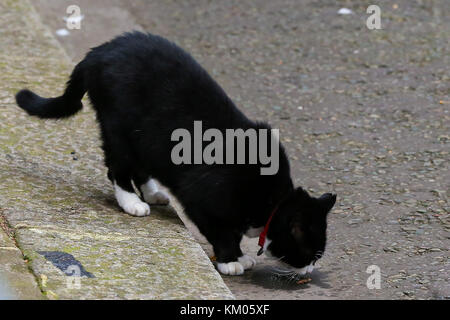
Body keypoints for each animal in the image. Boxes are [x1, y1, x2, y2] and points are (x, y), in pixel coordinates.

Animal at [15, 31, 336, 276]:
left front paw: (239, 255)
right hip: (119, 127)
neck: (270, 199)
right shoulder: (201, 198)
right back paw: (132, 201)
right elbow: (221, 231)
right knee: (117, 167)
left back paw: (152, 193)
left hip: (145, 138)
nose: (310, 270)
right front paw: (231, 259)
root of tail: (100, 50)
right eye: (313, 253)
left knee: (142, 164)